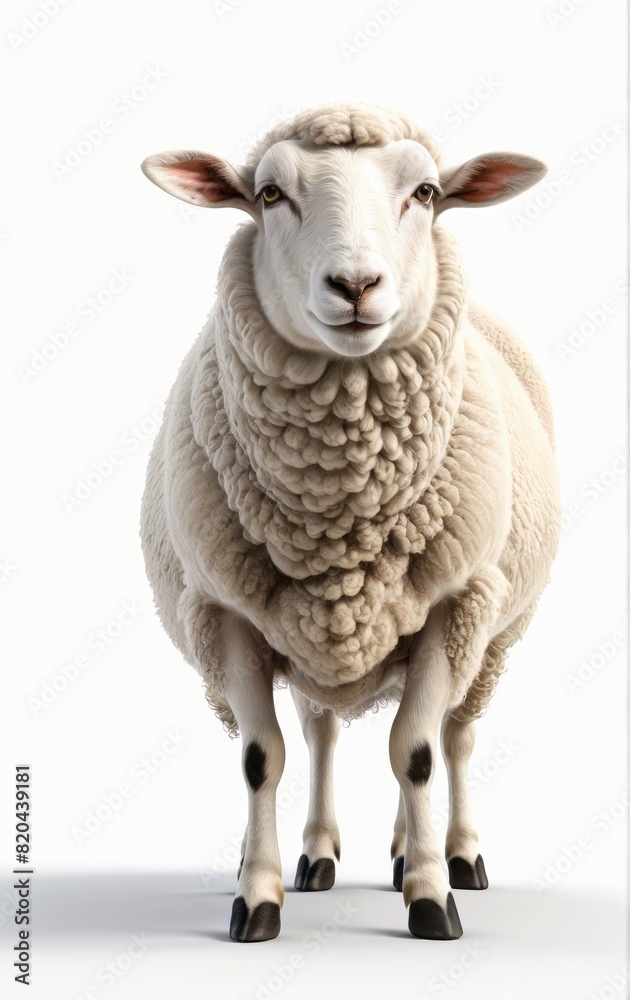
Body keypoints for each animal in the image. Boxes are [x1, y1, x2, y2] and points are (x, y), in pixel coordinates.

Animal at [140, 102, 560, 942]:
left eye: (426, 193)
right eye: (269, 195)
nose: (357, 285)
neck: (344, 514)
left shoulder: (456, 608)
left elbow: (418, 754)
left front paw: (431, 895)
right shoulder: (227, 616)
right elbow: (261, 759)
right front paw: (258, 897)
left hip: (494, 637)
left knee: (453, 736)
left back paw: (452, 853)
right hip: (300, 637)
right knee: (320, 734)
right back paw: (315, 854)